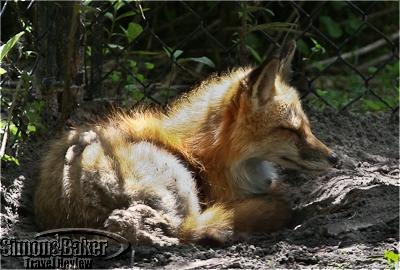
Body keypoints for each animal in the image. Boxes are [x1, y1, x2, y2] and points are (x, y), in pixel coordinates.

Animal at [33, 40, 338, 247]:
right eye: (289, 130)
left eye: (307, 127)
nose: (335, 158)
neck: (205, 153)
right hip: (182, 183)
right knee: (194, 231)